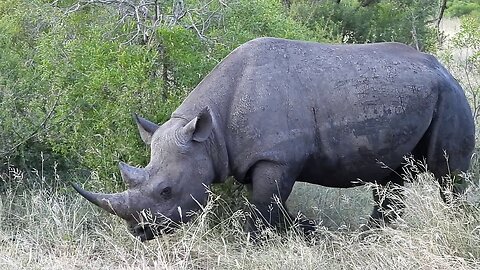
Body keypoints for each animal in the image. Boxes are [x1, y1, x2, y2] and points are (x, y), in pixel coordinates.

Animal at [73, 37, 474, 240]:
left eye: (166, 191)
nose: (138, 231)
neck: (209, 132)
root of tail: (443, 67)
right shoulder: (259, 158)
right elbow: (273, 209)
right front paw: (309, 231)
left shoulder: (276, 158)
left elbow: (264, 208)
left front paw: (262, 243)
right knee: (391, 177)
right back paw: (370, 237)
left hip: (451, 96)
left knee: (449, 173)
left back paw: (458, 225)